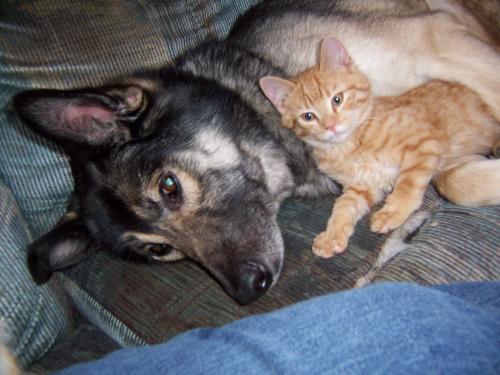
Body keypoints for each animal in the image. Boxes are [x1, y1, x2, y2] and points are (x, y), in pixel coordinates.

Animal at [260, 37, 500, 258]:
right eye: (308, 116)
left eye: (337, 99)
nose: (331, 126)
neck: (349, 146)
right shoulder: (361, 187)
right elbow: (343, 207)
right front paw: (332, 235)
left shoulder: (424, 141)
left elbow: (408, 183)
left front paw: (393, 212)